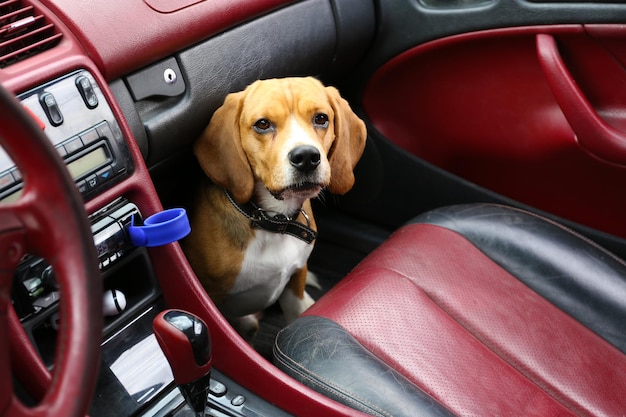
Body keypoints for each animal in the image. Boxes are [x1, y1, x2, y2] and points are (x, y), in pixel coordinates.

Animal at [183, 77, 364, 338]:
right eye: (262, 124)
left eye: (321, 118)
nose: (307, 157)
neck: (274, 220)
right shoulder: (209, 297)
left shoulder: (295, 279)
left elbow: (295, 311)